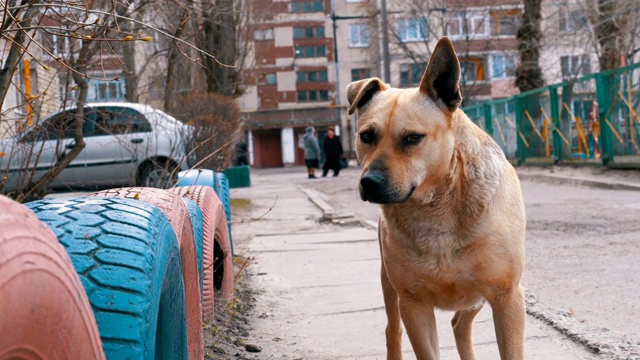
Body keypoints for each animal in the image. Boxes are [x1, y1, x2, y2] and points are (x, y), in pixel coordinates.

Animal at [348, 37, 528, 360]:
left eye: (412, 138)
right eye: (366, 136)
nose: (369, 183)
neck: (436, 205)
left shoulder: (507, 296)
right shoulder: (413, 304)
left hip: (478, 296)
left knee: (459, 323)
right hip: (389, 287)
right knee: (393, 330)